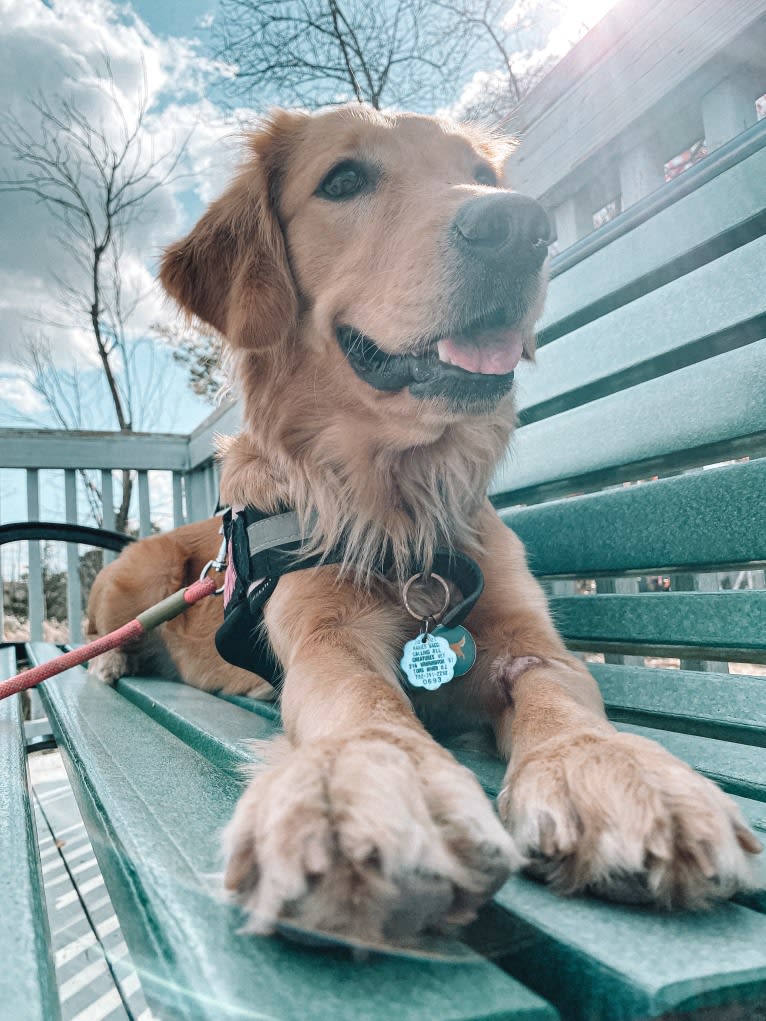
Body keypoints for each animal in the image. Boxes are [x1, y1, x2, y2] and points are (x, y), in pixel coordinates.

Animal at [86, 103, 759, 939]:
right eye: (344, 179)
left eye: (480, 174)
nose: (521, 225)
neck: (400, 499)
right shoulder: (325, 632)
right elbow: (360, 697)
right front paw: (371, 779)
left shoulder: (526, 637)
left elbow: (559, 690)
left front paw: (610, 765)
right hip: (135, 575)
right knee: (104, 631)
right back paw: (112, 661)